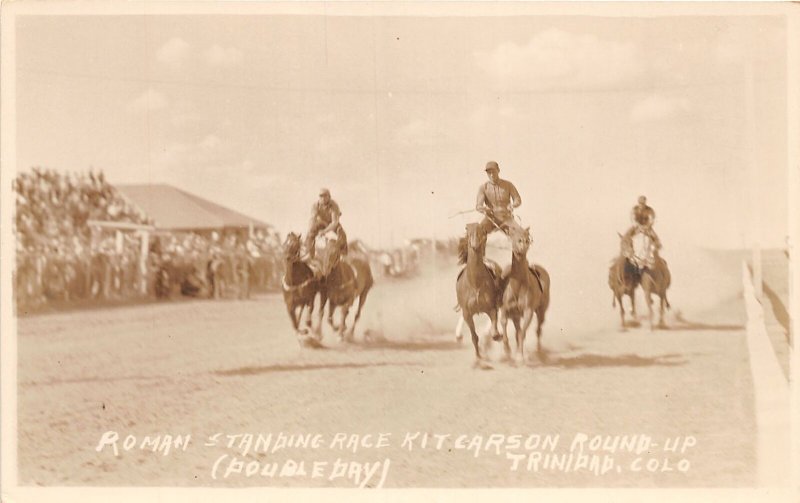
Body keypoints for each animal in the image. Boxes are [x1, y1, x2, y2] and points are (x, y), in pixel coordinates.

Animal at [456, 222, 500, 368]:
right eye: (467, 229)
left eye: (483, 230)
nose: (474, 244)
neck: (475, 283)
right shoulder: (467, 313)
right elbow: (474, 337)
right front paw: (478, 359)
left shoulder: (491, 308)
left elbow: (494, 331)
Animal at [500, 226, 552, 364]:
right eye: (512, 234)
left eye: (527, 237)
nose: (523, 243)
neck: (518, 286)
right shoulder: (507, 311)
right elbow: (505, 328)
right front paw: (507, 352)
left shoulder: (528, 312)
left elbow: (522, 333)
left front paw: (519, 356)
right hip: (517, 317)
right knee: (518, 331)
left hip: (541, 312)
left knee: (538, 330)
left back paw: (538, 352)